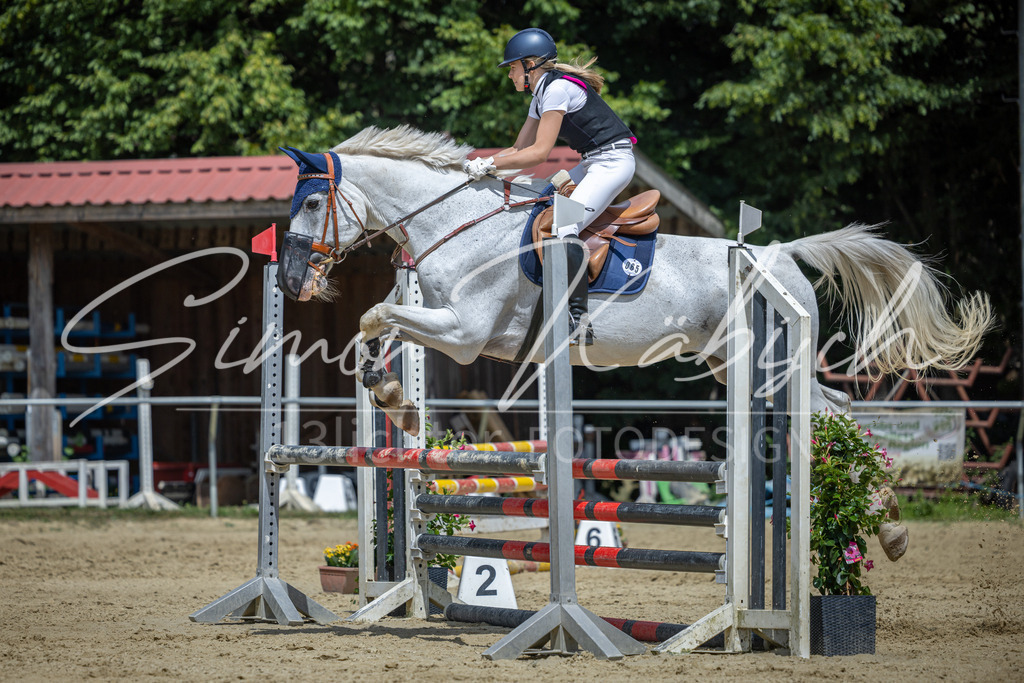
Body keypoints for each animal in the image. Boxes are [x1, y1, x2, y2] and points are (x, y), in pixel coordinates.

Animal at [276, 125, 993, 436]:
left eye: (310, 203)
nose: (289, 281)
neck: (458, 222)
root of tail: (780, 252)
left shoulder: (465, 332)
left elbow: (374, 317)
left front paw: (393, 395)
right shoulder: (439, 320)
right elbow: (375, 324)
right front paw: (393, 393)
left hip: (767, 360)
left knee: (829, 410)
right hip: (737, 362)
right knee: (833, 407)